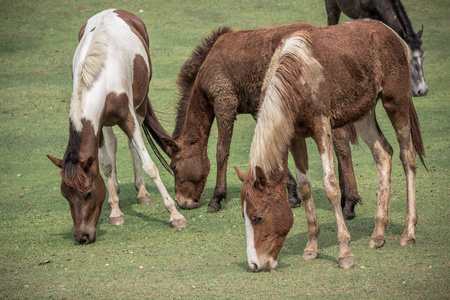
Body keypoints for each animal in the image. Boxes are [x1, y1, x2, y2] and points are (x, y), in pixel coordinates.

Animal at [45, 8, 186, 244]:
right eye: (65, 195)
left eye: (88, 192)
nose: (82, 236)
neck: (100, 77)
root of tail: (116, 10)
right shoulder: (98, 124)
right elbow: (106, 165)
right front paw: (115, 212)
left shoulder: (128, 117)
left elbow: (149, 166)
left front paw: (175, 215)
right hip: (109, 124)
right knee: (113, 145)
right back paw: (117, 194)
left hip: (139, 106)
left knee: (131, 145)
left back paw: (142, 193)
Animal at [236, 18, 426, 272]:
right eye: (245, 217)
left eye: (258, 217)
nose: (255, 264)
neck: (299, 76)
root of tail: (391, 33)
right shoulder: (296, 137)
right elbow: (305, 187)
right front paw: (311, 248)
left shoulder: (322, 128)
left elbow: (331, 187)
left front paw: (345, 253)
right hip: (363, 114)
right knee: (383, 154)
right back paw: (378, 233)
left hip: (396, 101)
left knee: (408, 158)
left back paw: (408, 232)